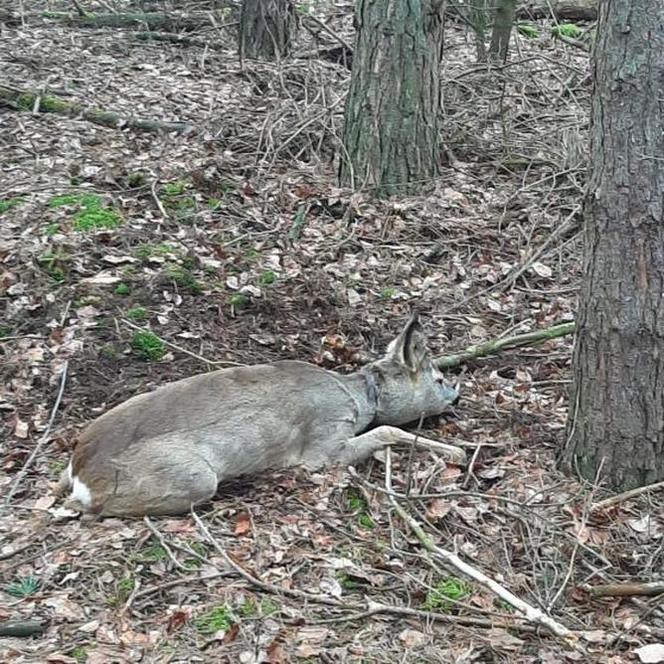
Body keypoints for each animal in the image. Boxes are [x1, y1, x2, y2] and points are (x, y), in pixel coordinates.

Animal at [57, 316, 464, 520]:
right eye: (438, 378)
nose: (456, 393)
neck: (358, 398)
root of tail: (80, 473)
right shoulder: (322, 444)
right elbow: (387, 429)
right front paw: (458, 453)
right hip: (193, 477)